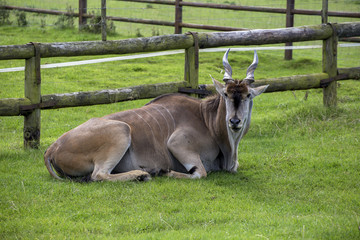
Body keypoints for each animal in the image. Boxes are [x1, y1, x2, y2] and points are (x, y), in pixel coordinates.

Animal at [44, 48, 268, 181]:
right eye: (226, 94)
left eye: (248, 95)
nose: (235, 121)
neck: (207, 120)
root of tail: (52, 148)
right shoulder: (177, 144)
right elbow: (200, 173)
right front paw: (165, 171)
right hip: (121, 131)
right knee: (99, 175)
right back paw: (142, 174)